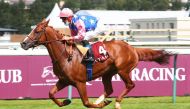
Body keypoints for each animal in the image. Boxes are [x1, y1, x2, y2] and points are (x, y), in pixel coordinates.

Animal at [20, 19, 171, 109]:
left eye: (37, 31)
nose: (23, 43)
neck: (65, 55)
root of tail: (132, 48)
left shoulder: (80, 82)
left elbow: (86, 102)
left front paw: (101, 104)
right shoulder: (64, 80)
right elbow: (50, 93)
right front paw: (65, 101)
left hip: (123, 70)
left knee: (130, 85)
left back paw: (116, 102)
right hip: (107, 73)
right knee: (109, 89)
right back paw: (102, 100)